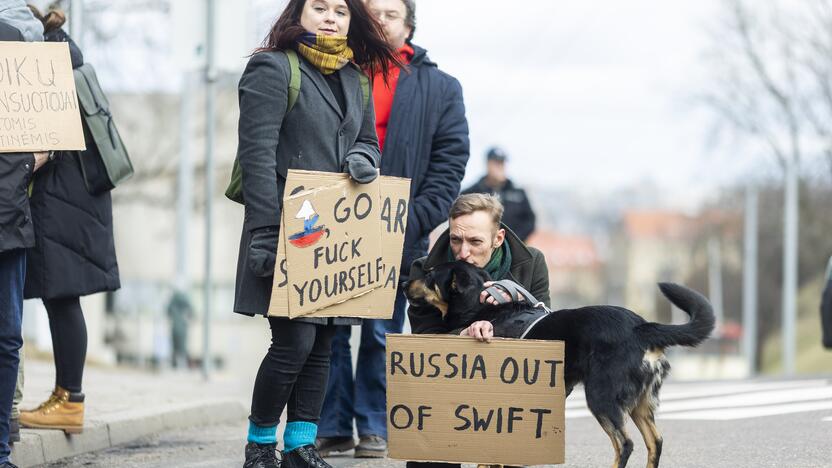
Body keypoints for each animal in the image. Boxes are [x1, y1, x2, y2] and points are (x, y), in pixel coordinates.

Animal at [406, 262, 712, 466]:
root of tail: (641, 328)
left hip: (600, 397)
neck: (479, 308)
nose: (406, 281)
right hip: (640, 404)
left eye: (430, 274)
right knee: (655, 442)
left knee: (624, 444)